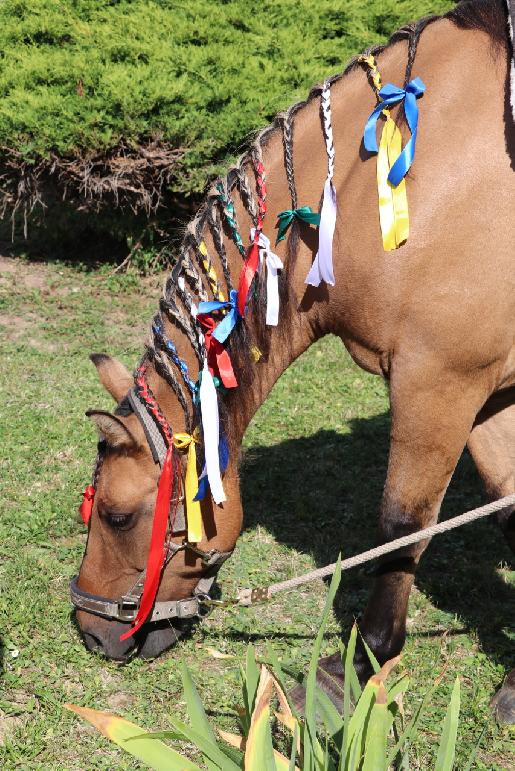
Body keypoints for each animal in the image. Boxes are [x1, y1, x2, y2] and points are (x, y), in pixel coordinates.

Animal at [69, 0, 515, 724]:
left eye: (116, 514)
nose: (91, 632)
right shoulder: (486, 388)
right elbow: (508, 511)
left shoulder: (437, 380)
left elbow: (401, 527)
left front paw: (353, 667)